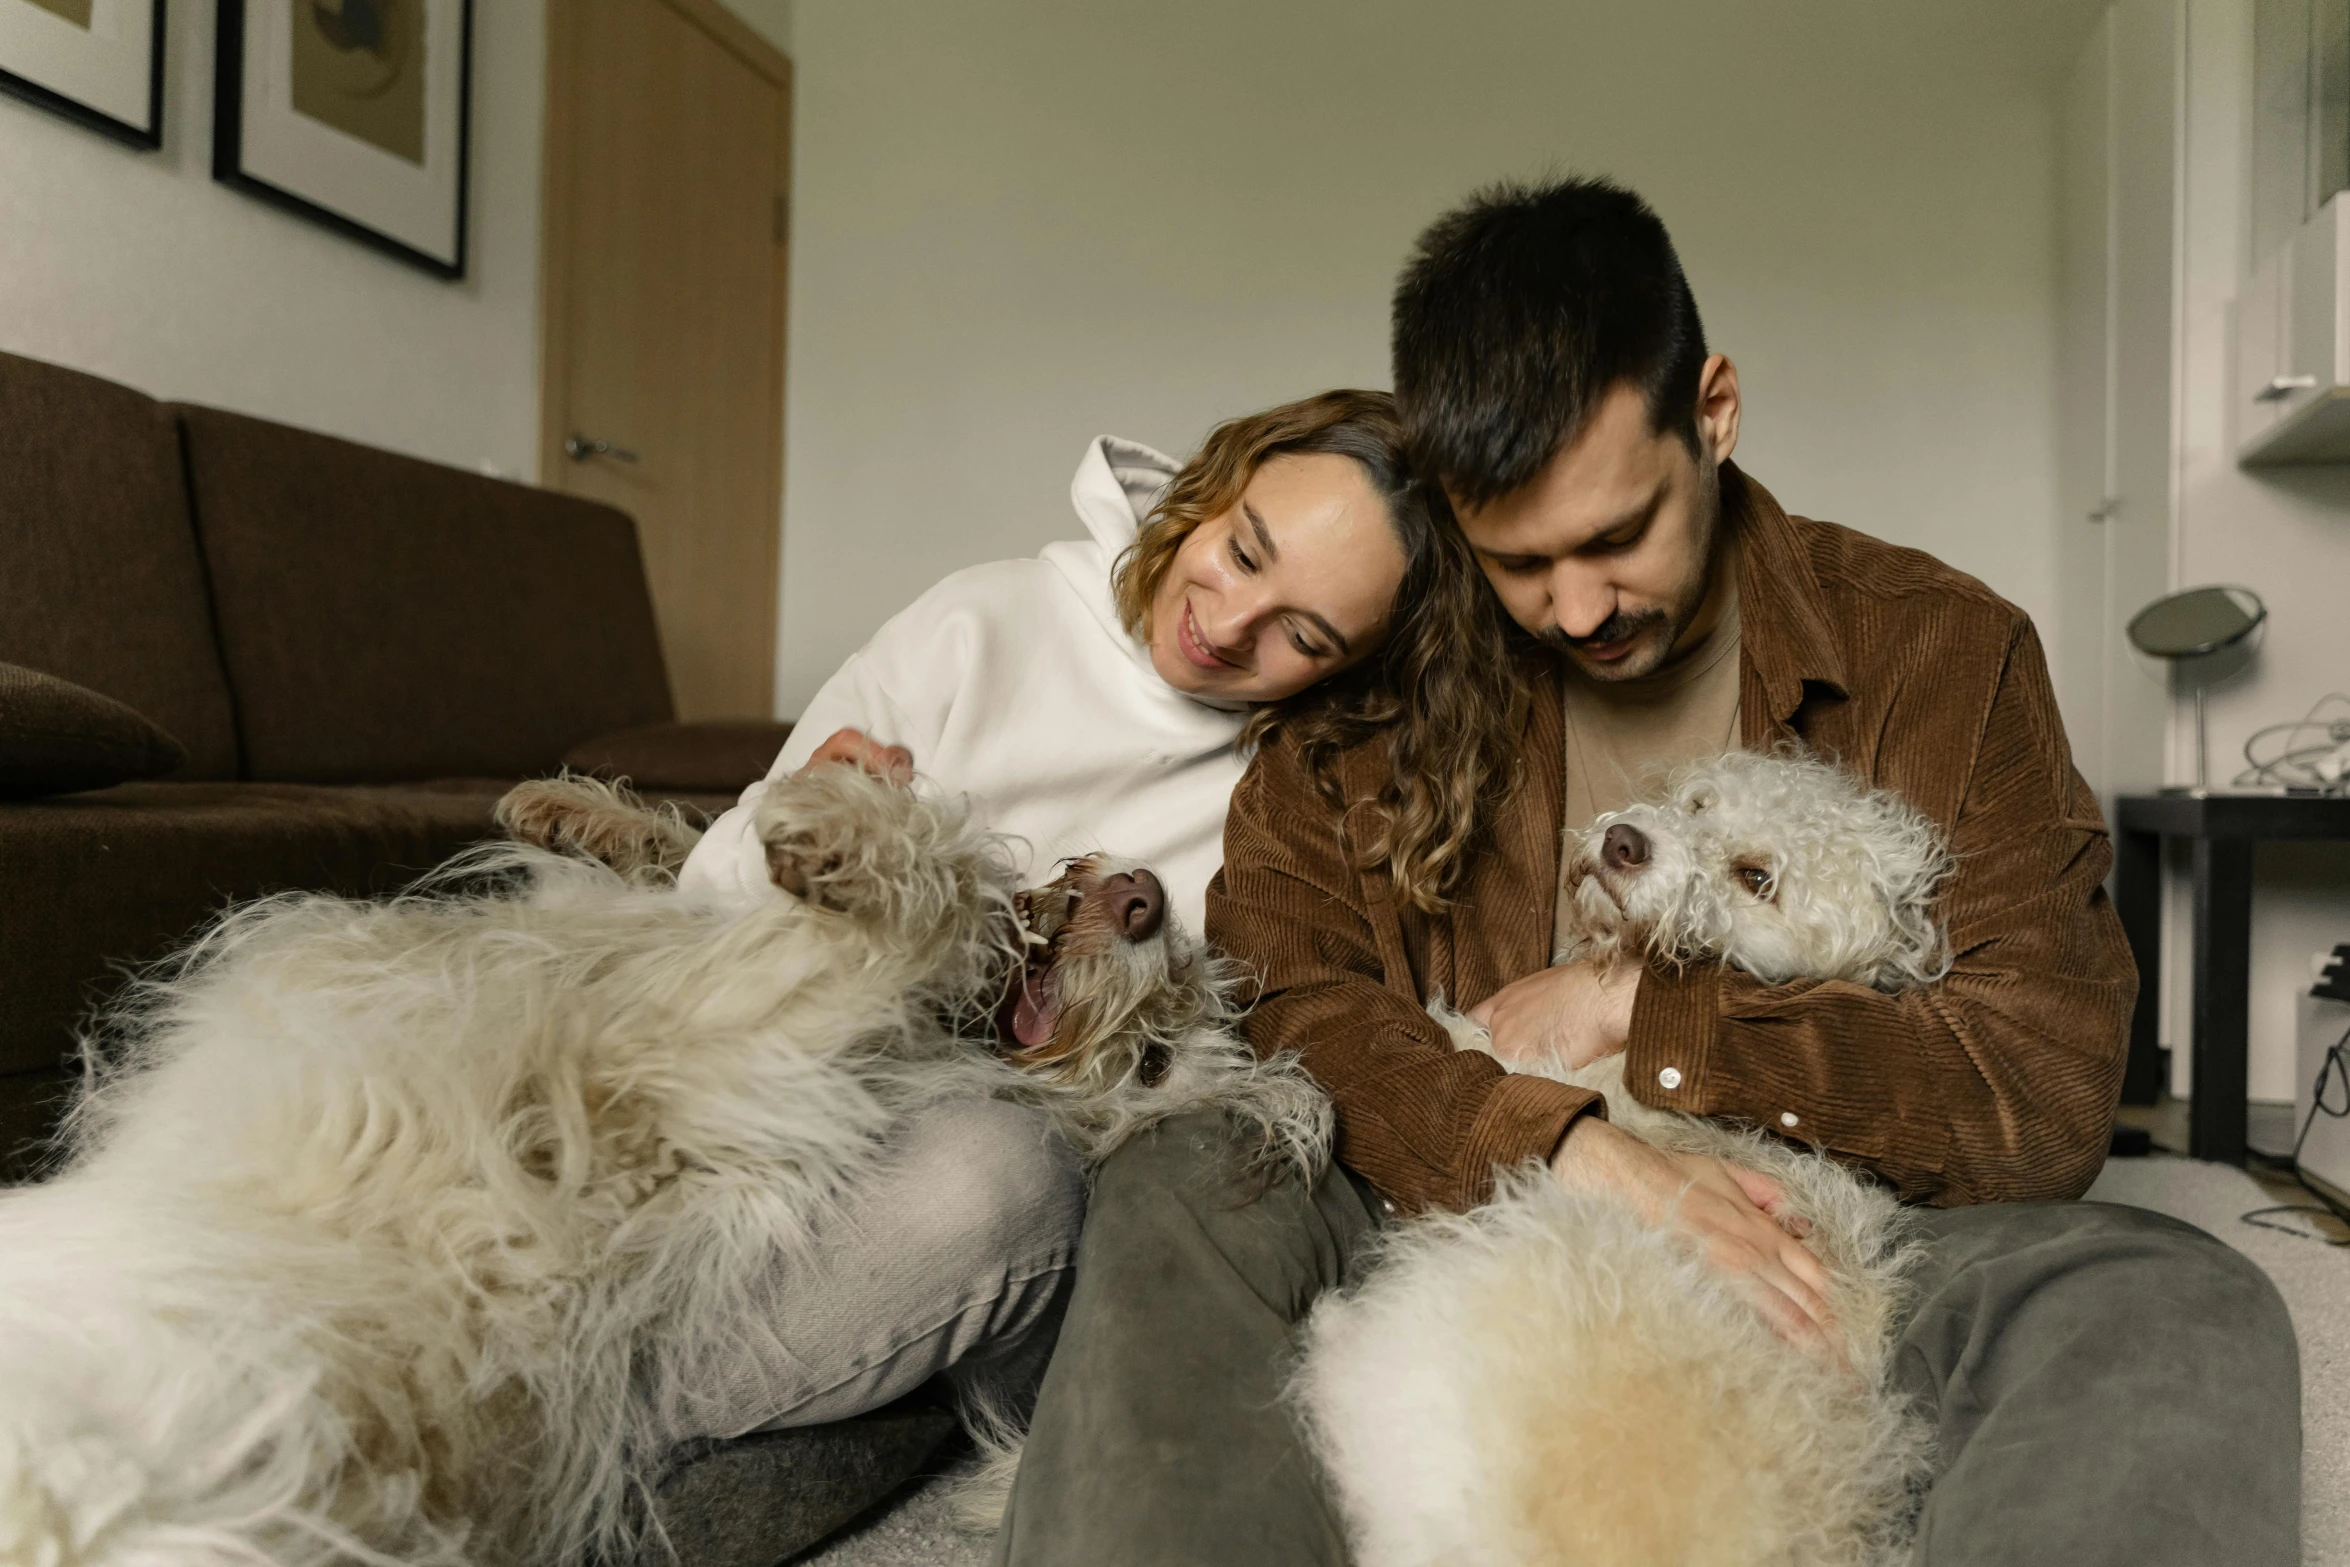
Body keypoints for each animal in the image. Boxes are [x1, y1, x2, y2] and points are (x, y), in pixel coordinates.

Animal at [0, 770, 1325, 1567]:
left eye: (1154, 1062)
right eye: (1162, 1022)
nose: (1142, 895)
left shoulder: (697, 1067)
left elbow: (910, 915)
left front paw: (869, 846)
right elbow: (697, 863)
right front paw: (586, 814)